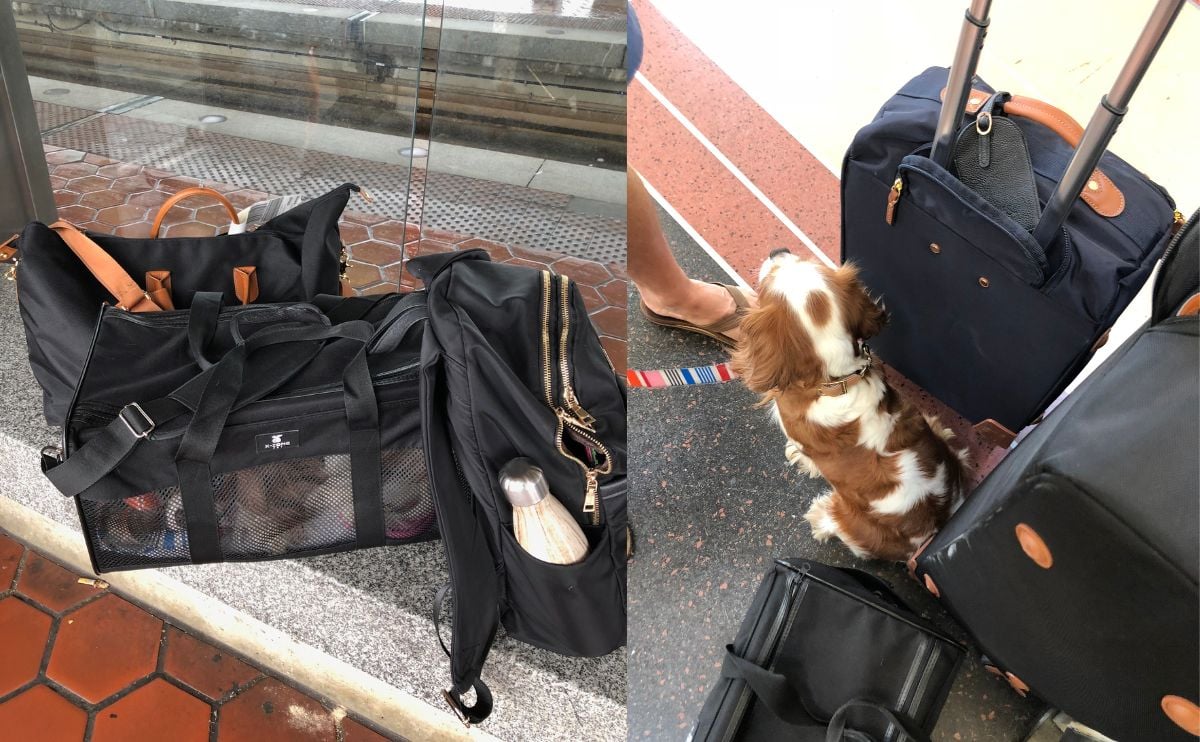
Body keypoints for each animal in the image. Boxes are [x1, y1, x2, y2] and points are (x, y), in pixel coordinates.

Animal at [729, 246, 974, 557]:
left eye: (769, 281)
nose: (777, 250)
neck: (838, 380)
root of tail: (932, 529)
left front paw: (801, 458)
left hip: (855, 523)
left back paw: (821, 519)